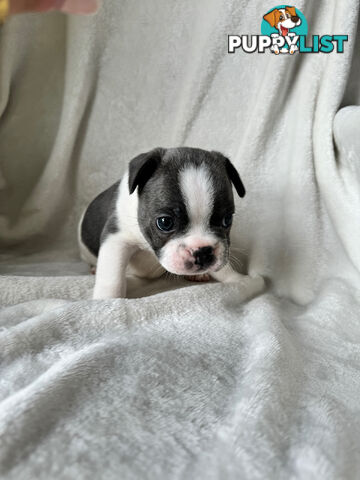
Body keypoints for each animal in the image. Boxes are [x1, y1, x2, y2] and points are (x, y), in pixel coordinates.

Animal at [79, 146, 264, 298]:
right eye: (164, 223)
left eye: (227, 220)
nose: (203, 251)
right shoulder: (116, 239)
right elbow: (112, 278)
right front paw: (106, 301)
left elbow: (224, 266)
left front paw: (238, 279)